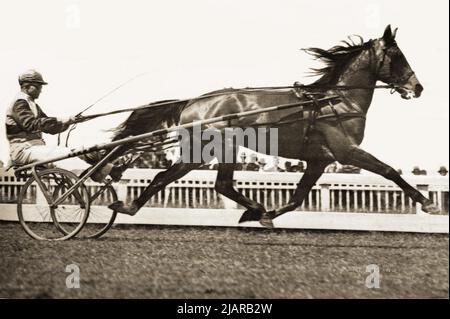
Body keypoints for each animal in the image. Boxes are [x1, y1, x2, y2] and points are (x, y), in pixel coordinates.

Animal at [106, 26, 440, 228]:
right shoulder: (345, 151)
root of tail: (192, 101)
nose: (418, 87)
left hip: (205, 151)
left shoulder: (320, 159)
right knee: (208, 182)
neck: (337, 100)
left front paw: (267, 214)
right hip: (218, 147)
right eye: (397, 56)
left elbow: (297, 197)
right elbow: (388, 171)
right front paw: (429, 204)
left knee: (178, 178)